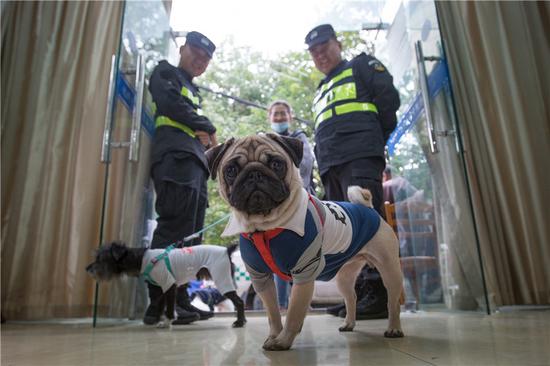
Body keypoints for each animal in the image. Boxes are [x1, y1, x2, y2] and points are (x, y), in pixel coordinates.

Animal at [87, 242, 247, 328]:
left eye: (101, 258)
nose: (87, 268)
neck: (142, 259)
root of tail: (226, 250)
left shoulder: (169, 285)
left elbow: (169, 307)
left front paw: (167, 322)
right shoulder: (161, 287)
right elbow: (160, 305)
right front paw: (159, 320)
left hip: (222, 278)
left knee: (239, 302)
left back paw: (239, 322)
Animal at [208, 133, 406, 350]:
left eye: (276, 164)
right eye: (231, 171)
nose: (254, 174)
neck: (265, 228)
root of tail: (369, 209)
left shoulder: (304, 273)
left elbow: (294, 312)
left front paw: (283, 340)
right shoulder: (261, 278)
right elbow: (273, 313)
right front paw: (274, 335)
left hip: (389, 268)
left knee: (393, 302)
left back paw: (394, 328)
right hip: (345, 277)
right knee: (351, 297)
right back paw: (349, 324)